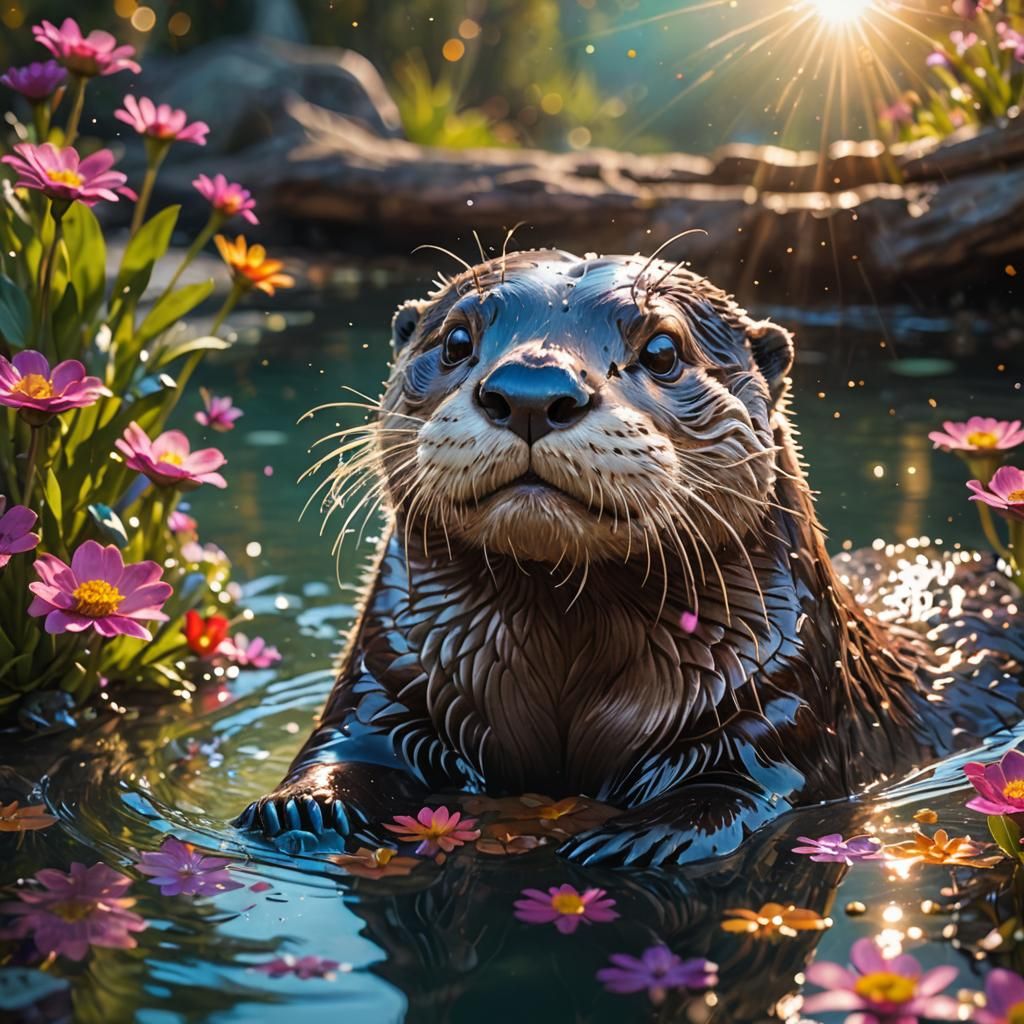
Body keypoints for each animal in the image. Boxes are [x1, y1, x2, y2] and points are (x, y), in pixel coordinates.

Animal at [235, 250, 1024, 866]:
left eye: (664, 351)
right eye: (457, 339)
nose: (531, 391)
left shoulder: (786, 702)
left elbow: (741, 790)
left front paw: (636, 839)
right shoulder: (385, 677)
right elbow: (345, 750)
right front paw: (301, 808)